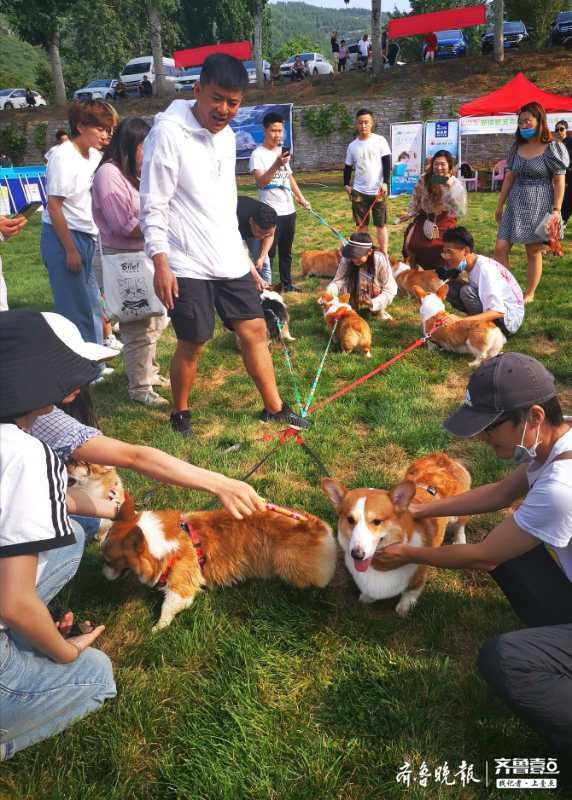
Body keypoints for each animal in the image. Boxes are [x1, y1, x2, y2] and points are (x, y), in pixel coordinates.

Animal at [101, 494, 338, 632]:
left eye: (109, 560)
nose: (102, 573)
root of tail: (317, 527)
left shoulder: (181, 588)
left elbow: (167, 608)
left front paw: (157, 629)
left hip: (286, 563)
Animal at [324, 454, 472, 616]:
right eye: (350, 520)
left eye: (377, 521)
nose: (357, 555)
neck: (377, 566)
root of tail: (442, 457)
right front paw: (366, 598)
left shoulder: (418, 575)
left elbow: (411, 591)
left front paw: (404, 607)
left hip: (458, 512)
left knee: (461, 524)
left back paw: (460, 540)